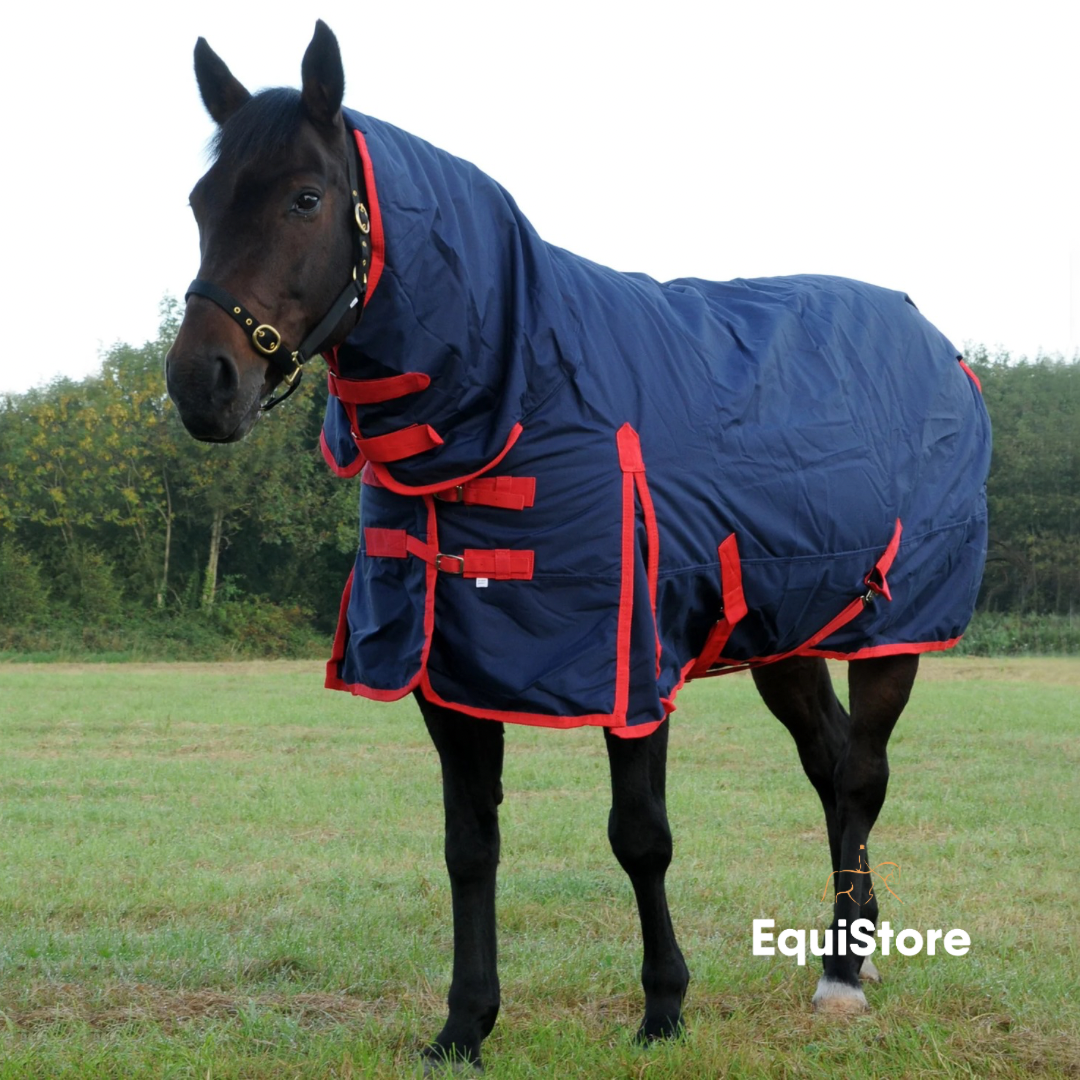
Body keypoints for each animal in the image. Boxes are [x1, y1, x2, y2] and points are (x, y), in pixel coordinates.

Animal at [165, 21, 991, 1071]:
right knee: (829, 763)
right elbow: (468, 845)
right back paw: (861, 944)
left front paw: (664, 1008)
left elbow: (641, 836)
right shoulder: (447, 672)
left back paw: (842, 974)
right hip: (786, 635)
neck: (520, 396)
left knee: (861, 771)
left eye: (305, 197)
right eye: (202, 200)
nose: (202, 383)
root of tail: (939, 346)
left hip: (894, 630)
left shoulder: (628, 667)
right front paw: (465, 1025)